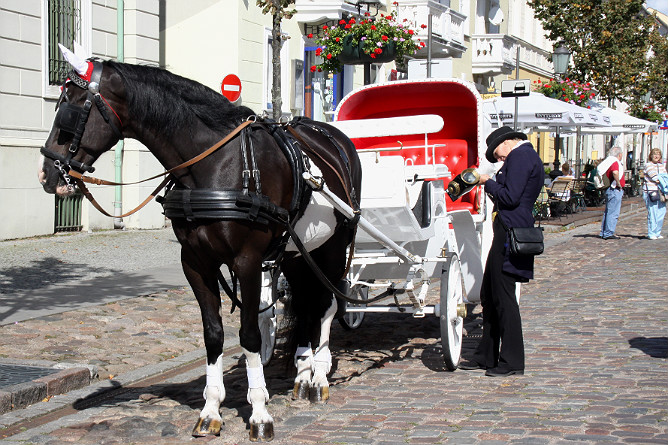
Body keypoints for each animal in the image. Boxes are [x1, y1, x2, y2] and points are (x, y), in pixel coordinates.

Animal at [37, 49, 360, 440]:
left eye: (70, 110)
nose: (46, 174)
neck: (214, 164)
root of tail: (332, 135)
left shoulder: (248, 262)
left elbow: (250, 335)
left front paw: (259, 412)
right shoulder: (194, 262)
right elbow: (213, 334)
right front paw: (211, 409)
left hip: (334, 246)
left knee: (327, 303)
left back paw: (319, 376)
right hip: (298, 252)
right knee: (305, 302)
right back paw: (302, 371)